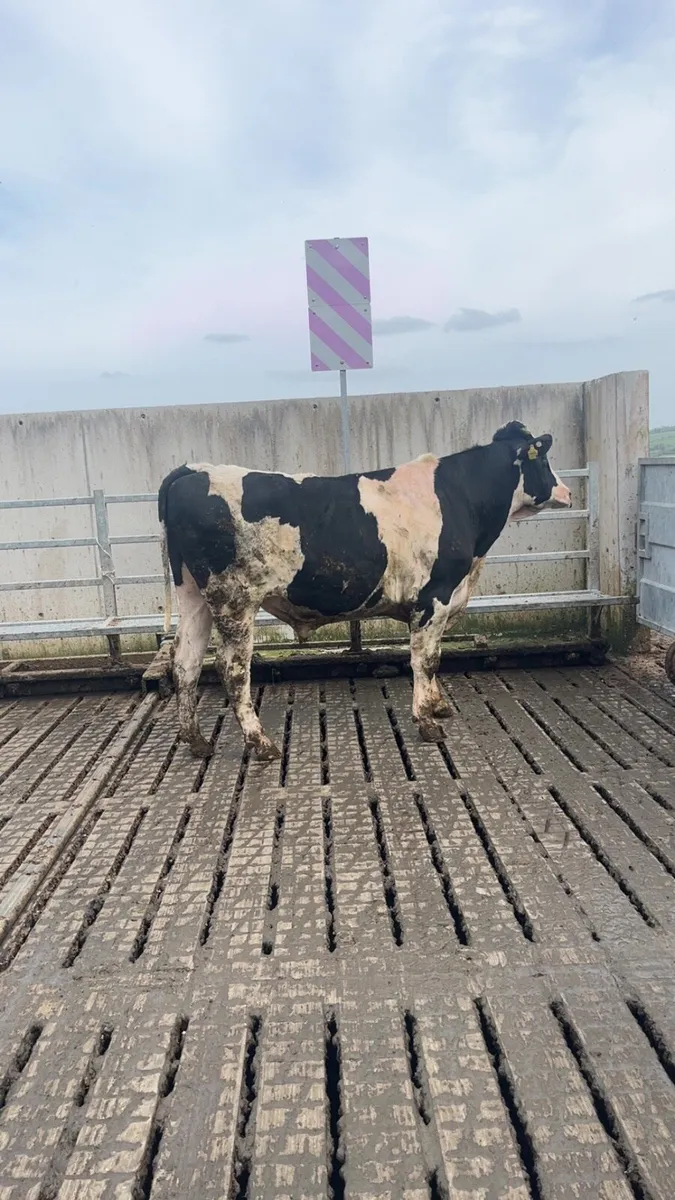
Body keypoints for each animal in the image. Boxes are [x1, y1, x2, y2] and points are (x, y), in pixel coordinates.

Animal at [158, 420, 572, 761]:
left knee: (186, 663)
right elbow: (425, 659)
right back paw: (261, 743)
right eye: (544, 461)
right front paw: (427, 721)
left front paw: (438, 705)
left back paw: (197, 741)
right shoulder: (434, 595)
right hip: (234, 600)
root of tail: (193, 471)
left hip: (193, 596)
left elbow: (434, 655)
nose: (567, 492)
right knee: (231, 669)